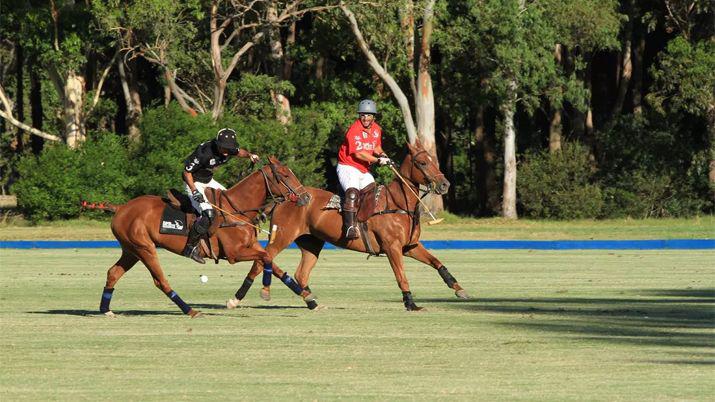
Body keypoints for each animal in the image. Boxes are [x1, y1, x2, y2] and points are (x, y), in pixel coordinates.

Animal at [97, 157, 313, 318]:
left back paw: (106, 310)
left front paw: (308, 298)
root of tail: (121, 208)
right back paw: (190, 310)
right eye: (285, 175)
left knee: (113, 273)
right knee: (160, 281)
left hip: (131, 250)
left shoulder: (252, 247)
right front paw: (265, 292)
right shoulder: (234, 254)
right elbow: (267, 258)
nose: (306, 197)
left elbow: (273, 266)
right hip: (144, 248)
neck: (237, 208)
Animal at [226, 140, 470, 311]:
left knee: (300, 274)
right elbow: (401, 275)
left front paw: (460, 290)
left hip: (311, 242)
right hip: (283, 237)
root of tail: (285, 199)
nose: (445, 184)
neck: (399, 204)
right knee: (261, 261)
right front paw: (411, 303)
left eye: (433, 160)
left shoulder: (410, 246)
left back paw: (311, 300)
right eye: (422, 162)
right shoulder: (392, 247)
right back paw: (237, 299)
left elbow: (437, 262)